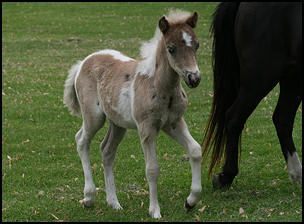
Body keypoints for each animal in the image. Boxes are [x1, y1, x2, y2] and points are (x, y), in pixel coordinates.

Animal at [63, 9, 202, 218]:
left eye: (196, 45)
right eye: (171, 48)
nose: (194, 78)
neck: (160, 86)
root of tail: (83, 62)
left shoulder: (174, 123)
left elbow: (195, 150)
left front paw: (190, 202)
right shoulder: (146, 128)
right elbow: (152, 169)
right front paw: (155, 211)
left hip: (117, 123)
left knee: (107, 150)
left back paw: (114, 202)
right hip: (94, 117)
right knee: (81, 140)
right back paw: (88, 197)